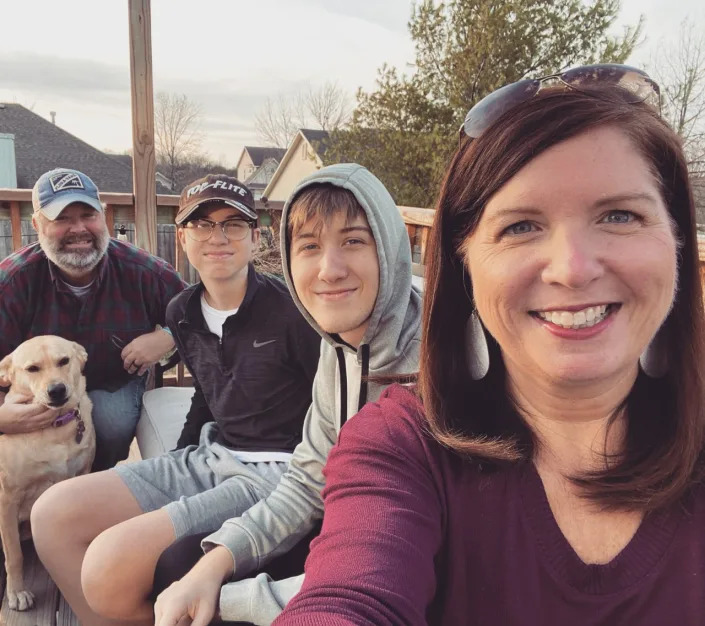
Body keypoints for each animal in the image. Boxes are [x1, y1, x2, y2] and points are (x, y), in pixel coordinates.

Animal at [0, 336, 94, 608]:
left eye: (64, 361)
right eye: (32, 369)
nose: (57, 390)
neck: (55, 428)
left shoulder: (82, 476)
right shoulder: (7, 500)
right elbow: (14, 555)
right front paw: (17, 592)